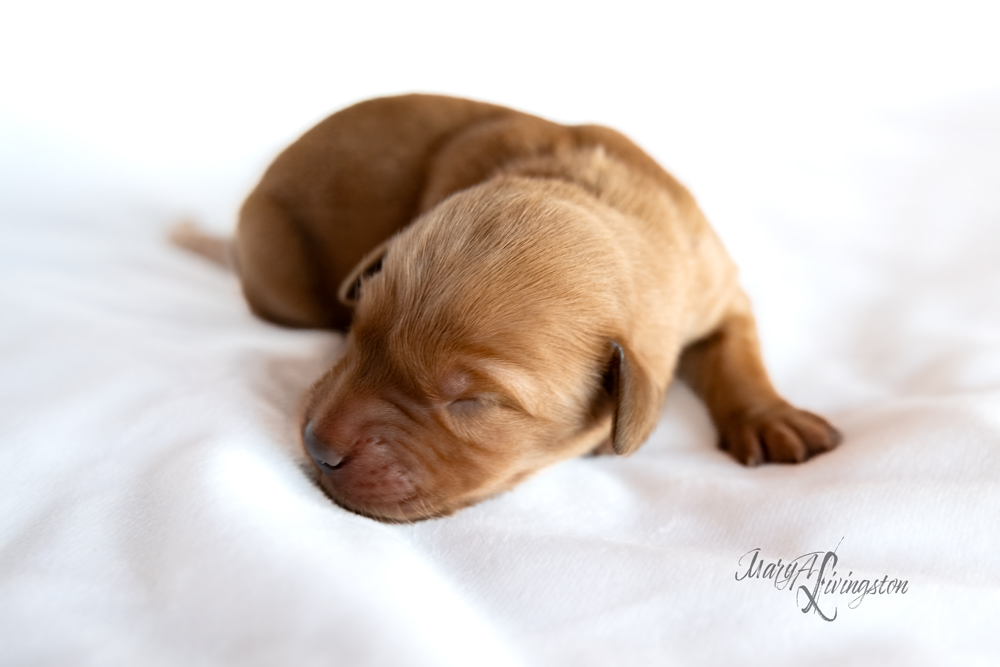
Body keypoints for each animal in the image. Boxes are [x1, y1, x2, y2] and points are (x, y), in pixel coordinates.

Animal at [191, 92, 840, 520]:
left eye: (473, 402)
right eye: (356, 331)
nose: (316, 446)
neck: (592, 196)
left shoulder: (719, 290)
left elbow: (739, 354)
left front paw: (772, 417)